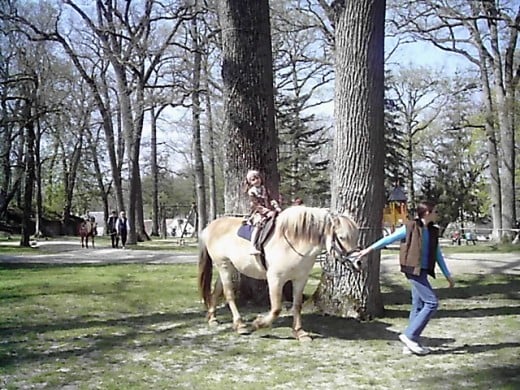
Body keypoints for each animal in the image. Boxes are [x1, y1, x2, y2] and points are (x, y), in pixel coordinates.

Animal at [197, 206, 360, 340]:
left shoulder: (300, 279)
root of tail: (210, 227)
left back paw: (212, 317)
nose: (359, 261)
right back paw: (240, 325)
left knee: (216, 290)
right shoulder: (275, 278)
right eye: (341, 237)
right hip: (223, 265)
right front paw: (257, 324)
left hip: (229, 267)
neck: (294, 242)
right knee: (229, 294)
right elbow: (276, 309)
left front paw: (300, 332)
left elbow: (297, 305)